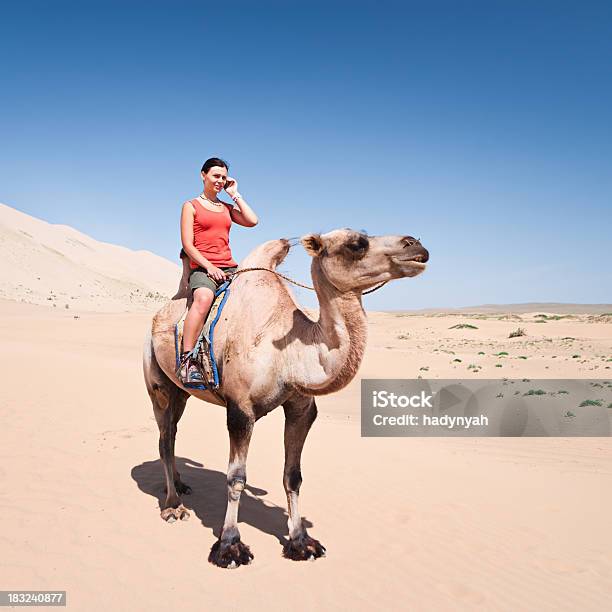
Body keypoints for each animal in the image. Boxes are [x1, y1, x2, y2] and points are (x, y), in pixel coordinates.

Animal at [141, 230, 428, 568]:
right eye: (357, 243)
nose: (416, 244)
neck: (288, 354)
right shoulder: (240, 410)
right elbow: (236, 478)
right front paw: (229, 546)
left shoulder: (301, 408)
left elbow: (293, 476)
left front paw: (301, 542)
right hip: (157, 382)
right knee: (165, 437)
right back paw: (172, 505)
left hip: (183, 392)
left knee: (172, 432)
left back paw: (180, 485)